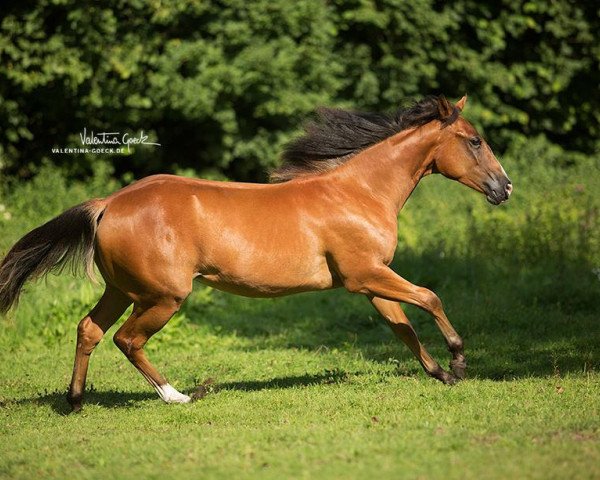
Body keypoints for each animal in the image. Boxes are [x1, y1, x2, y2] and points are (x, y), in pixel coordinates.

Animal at [0, 95, 510, 410]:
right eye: (475, 140)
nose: (504, 187)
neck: (359, 192)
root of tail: (108, 204)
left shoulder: (369, 280)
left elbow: (402, 326)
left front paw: (440, 374)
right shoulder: (366, 274)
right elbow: (429, 297)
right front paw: (459, 362)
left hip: (123, 290)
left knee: (89, 330)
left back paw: (75, 401)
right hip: (162, 297)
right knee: (127, 340)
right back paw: (177, 396)